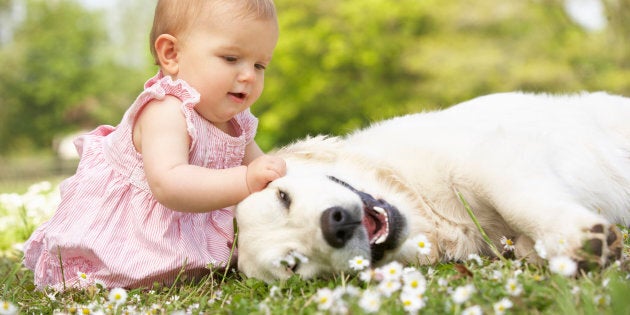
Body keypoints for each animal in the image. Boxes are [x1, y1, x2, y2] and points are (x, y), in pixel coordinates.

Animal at [237, 92, 630, 282]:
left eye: (282, 197)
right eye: (292, 265)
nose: (335, 225)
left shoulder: (490, 157)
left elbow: (518, 202)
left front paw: (576, 238)